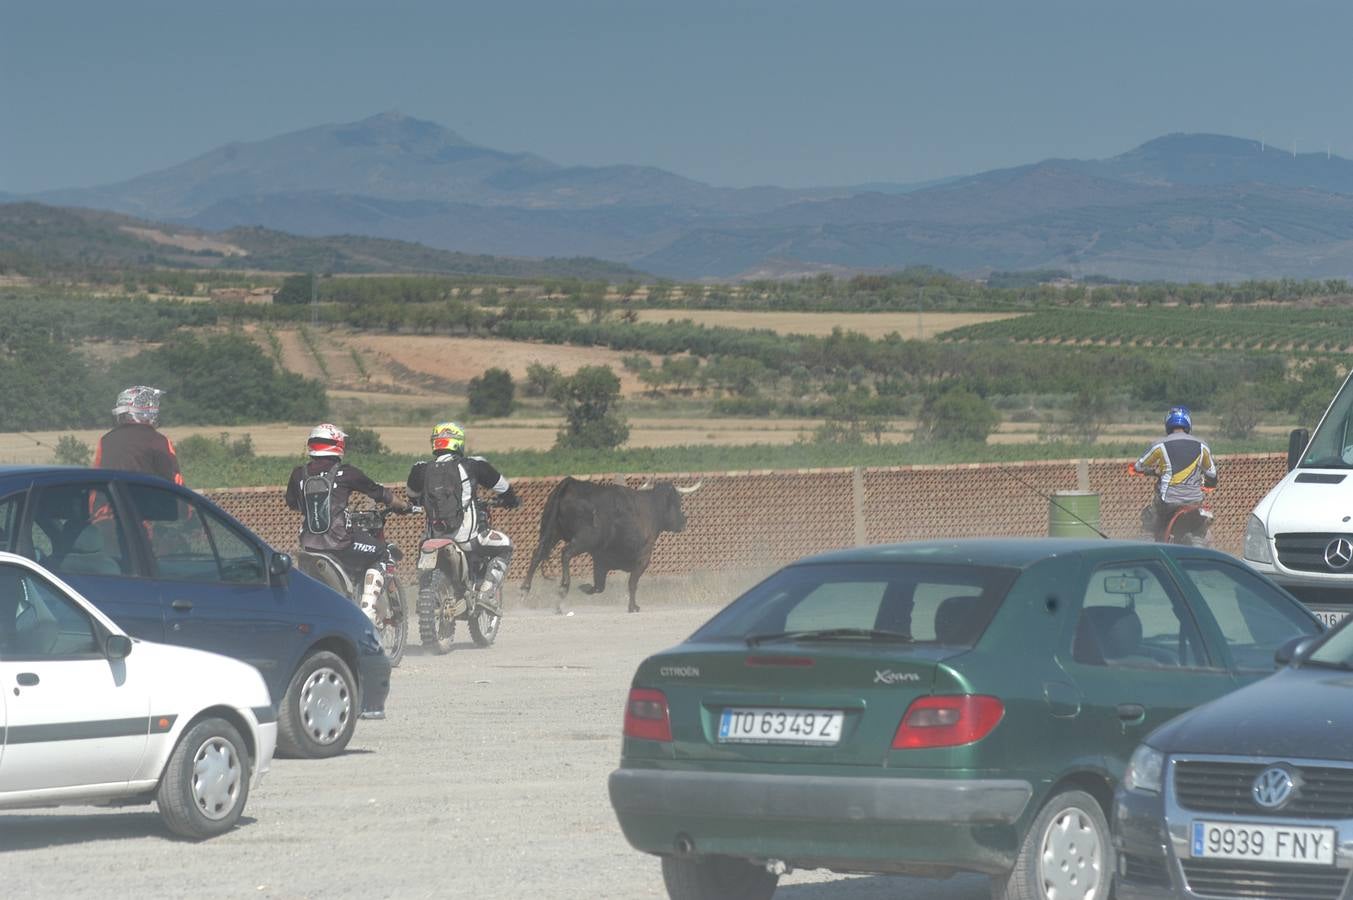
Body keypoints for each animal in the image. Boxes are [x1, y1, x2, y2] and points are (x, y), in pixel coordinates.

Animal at [522, 476, 703, 611]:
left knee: (537, 554)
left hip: (551, 532)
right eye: (678, 503)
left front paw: (585, 587)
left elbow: (599, 586)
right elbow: (632, 583)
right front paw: (633, 607)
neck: (651, 509)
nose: (683, 522)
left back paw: (525, 588)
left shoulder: (601, 560)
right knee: (565, 553)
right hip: (584, 539)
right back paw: (563, 587)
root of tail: (571, 483)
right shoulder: (643, 557)